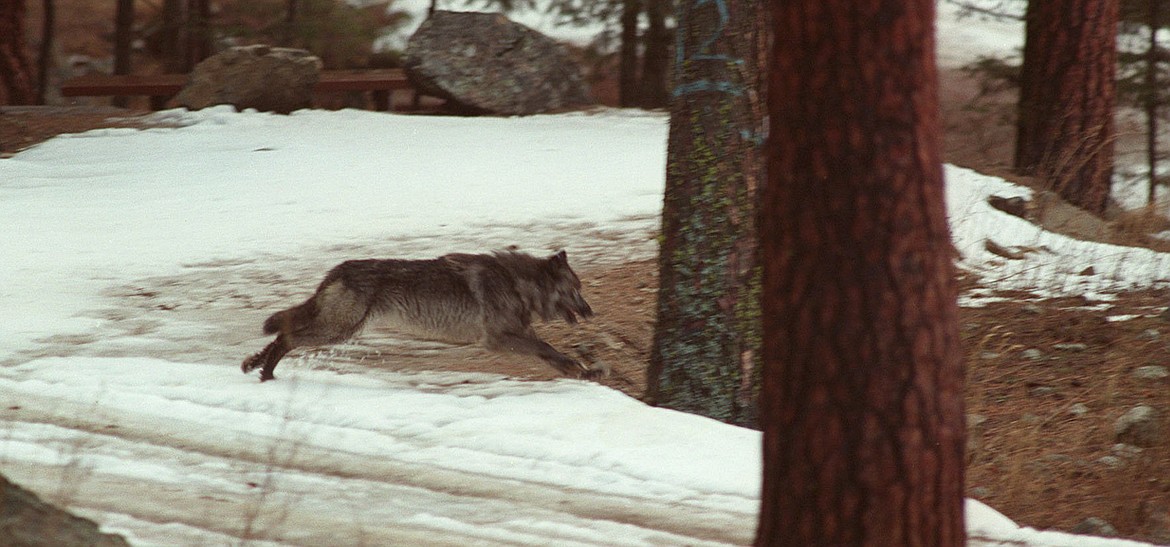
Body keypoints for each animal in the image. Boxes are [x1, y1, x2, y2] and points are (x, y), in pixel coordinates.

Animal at [241, 250, 599, 383]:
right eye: (575, 289)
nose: (590, 311)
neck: (516, 283)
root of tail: (336, 270)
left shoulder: (516, 335)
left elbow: (551, 354)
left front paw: (582, 371)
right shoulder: (498, 339)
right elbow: (547, 348)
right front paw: (580, 369)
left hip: (337, 329)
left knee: (283, 331)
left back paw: (254, 364)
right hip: (337, 331)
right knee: (287, 337)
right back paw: (267, 374)